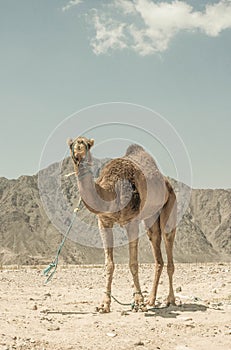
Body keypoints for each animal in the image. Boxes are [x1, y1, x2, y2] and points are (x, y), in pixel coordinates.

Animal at [67, 136, 177, 312]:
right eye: (71, 145)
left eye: (87, 145)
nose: (78, 152)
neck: (112, 190)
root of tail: (166, 183)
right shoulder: (104, 222)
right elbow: (109, 264)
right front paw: (104, 304)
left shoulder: (132, 221)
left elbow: (133, 263)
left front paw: (138, 302)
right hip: (151, 218)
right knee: (157, 251)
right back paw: (151, 300)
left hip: (170, 203)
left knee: (168, 242)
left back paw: (170, 300)